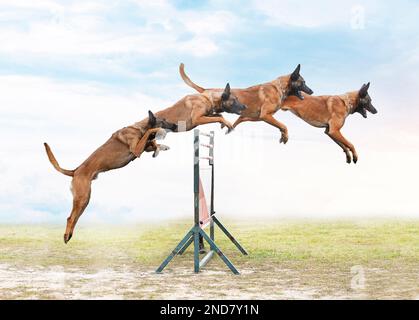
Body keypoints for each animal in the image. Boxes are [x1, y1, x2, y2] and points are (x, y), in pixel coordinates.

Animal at [44, 110, 177, 242]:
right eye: (164, 120)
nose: (175, 125)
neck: (139, 128)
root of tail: (75, 171)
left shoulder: (143, 147)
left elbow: (152, 143)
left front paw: (161, 147)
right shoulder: (136, 149)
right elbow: (151, 134)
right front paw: (159, 134)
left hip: (85, 199)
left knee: (74, 217)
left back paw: (70, 235)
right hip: (82, 197)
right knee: (71, 218)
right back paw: (66, 236)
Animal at [179, 62, 314, 142]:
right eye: (303, 82)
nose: (312, 91)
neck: (280, 87)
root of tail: (206, 89)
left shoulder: (253, 117)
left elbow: (237, 121)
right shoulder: (265, 116)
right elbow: (283, 125)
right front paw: (285, 136)